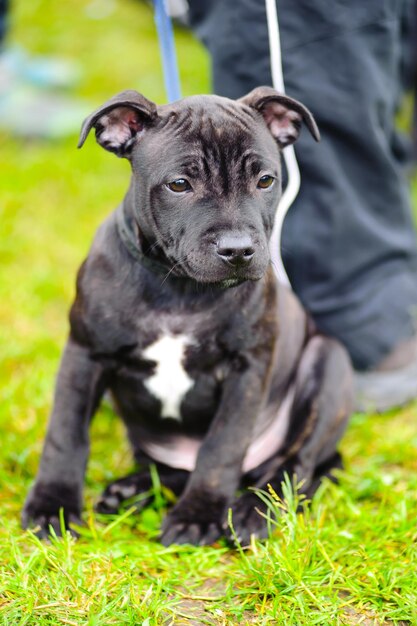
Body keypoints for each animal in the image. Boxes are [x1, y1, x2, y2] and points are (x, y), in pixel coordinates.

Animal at [22, 85, 352, 544]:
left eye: (265, 180)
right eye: (180, 184)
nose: (237, 250)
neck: (179, 289)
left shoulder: (246, 370)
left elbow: (222, 447)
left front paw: (199, 514)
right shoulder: (84, 354)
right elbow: (65, 435)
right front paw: (51, 504)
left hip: (328, 360)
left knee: (296, 463)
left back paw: (255, 508)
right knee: (178, 470)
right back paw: (131, 491)